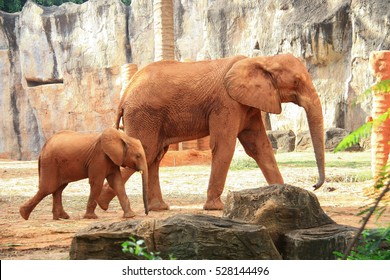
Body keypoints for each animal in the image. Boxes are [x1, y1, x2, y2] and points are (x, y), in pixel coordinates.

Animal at [19, 127, 149, 221]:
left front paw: (131, 216)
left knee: (58, 189)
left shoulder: (112, 160)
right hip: (50, 163)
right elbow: (96, 183)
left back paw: (61, 217)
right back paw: (24, 214)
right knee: (47, 189)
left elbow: (117, 183)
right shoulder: (99, 158)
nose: (147, 213)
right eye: (138, 156)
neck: (123, 137)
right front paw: (91, 218)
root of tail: (42, 150)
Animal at [96, 53, 326, 212]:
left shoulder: (248, 105)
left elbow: (259, 147)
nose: (314, 185)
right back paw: (103, 204)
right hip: (144, 114)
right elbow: (225, 145)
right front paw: (216, 207)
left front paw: (284, 196)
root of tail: (124, 95)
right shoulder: (227, 103)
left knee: (154, 156)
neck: (261, 60)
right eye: (297, 81)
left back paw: (157, 208)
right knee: (147, 151)